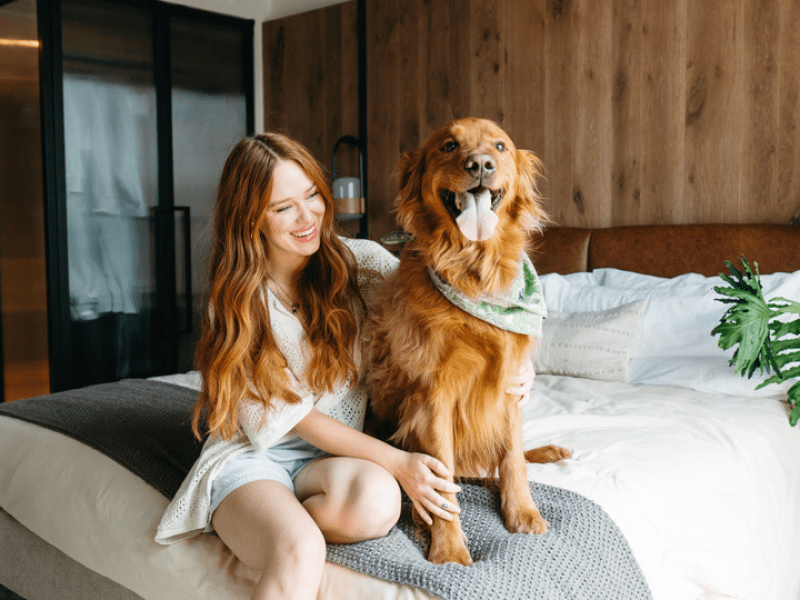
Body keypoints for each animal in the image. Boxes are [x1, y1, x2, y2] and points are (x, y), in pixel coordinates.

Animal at [366, 118, 572, 568]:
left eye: (500, 146)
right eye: (448, 145)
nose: (480, 164)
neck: (472, 276)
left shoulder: (509, 385)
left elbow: (512, 458)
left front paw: (523, 512)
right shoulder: (433, 396)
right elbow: (441, 481)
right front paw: (448, 549)